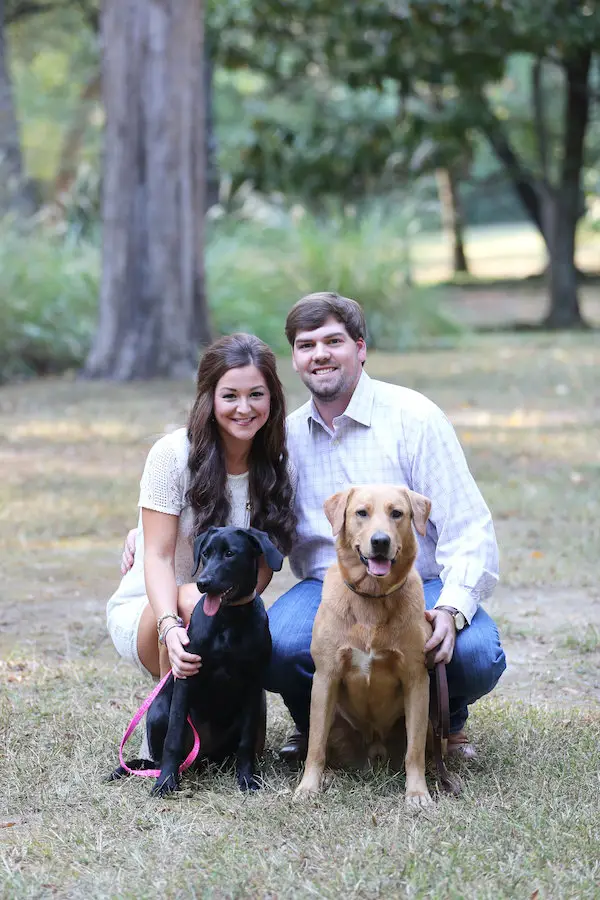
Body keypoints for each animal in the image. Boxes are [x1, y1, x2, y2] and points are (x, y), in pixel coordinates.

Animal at [110, 528, 284, 796]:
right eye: (205, 554)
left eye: (230, 553)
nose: (203, 583)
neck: (228, 620)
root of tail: (204, 757)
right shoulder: (186, 676)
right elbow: (173, 737)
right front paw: (165, 782)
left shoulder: (253, 685)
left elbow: (246, 742)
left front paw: (246, 779)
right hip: (159, 709)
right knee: (162, 756)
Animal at [296, 486, 434, 808]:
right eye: (361, 512)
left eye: (397, 513)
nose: (380, 541)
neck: (372, 597)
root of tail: (375, 752)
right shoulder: (326, 676)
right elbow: (315, 747)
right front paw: (308, 787)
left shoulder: (416, 680)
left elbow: (415, 752)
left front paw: (417, 792)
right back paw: (329, 776)